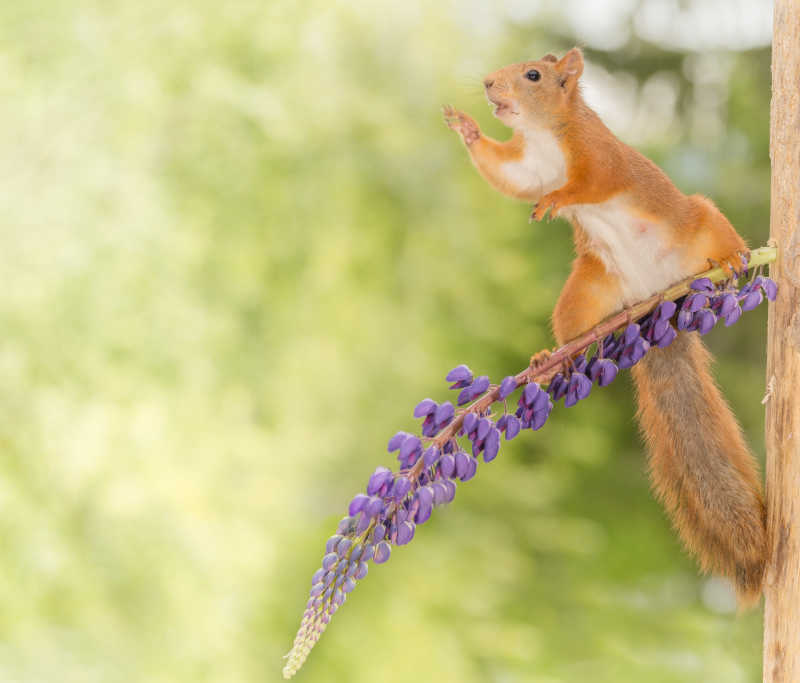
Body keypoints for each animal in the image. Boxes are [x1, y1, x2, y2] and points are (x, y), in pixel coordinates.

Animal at [444, 48, 768, 608]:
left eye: (533, 74)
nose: (487, 84)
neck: (546, 132)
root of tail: (657, 301)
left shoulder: (599, 156)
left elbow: (589, 183)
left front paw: (560, 197)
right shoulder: (528, 166)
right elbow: (510, 177)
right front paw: (465, 127)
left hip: (700, 222)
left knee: (719, 233)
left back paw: (732, 260)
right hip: (586, 292)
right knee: (574, 329)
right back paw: (552, 358)